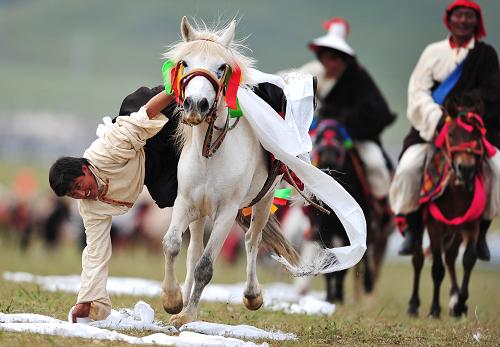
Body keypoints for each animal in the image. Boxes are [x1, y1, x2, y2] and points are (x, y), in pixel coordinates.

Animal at [408, 97, 494, 318]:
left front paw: (460, 303)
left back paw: (455, 299)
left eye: (477, 135)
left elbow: (468, 259)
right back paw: (413, 305)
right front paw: (434, 309)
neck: (456, 191)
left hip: (456, 231)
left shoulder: (471, 225)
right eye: (452, 134)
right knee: (419, 259)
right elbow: (437, 268)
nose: (466, 168)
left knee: (451, 257)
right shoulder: (435, 226)